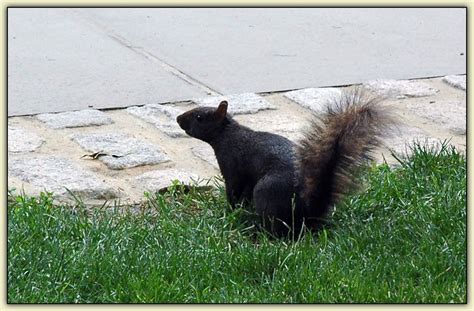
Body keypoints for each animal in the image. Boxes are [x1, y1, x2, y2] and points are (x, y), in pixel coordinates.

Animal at [177, 88, 392, 236]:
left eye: (199, 117)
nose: (178, 119)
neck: (227, 135)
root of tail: (306, 213)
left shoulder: (232, 166)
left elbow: (234, 191)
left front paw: (229, 213)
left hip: (266, 191)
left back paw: (259, 233)